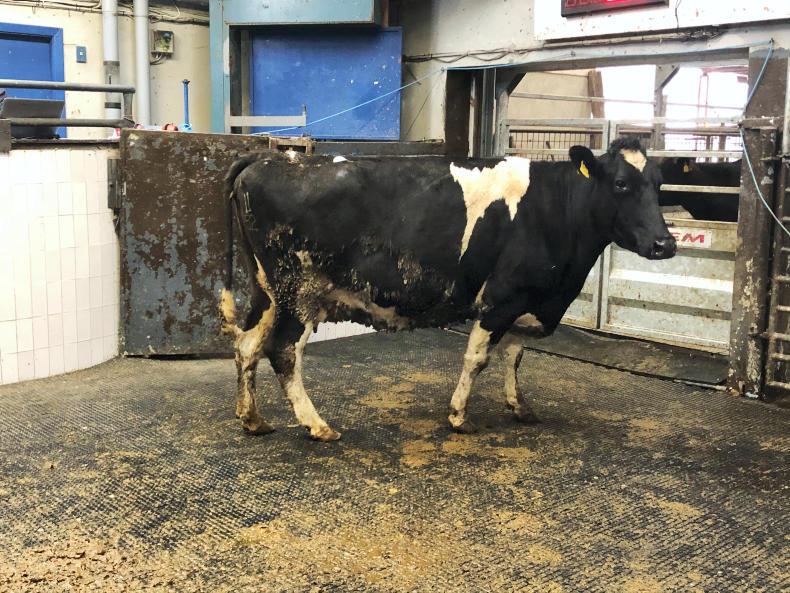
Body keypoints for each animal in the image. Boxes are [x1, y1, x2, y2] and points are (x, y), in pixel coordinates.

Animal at [219, 137, 676, 441]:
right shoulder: (501, 296)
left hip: (267, 290)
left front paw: (519, 406)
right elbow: (478, 357)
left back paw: (253, 419)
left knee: (247, 344)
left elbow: (515, 355)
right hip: (299, 290)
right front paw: (459, 416)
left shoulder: (526, 297)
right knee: (283, 351)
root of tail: (267, 158)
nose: (665, 244)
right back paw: (317, 425)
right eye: (620, 184)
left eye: (659, 185)